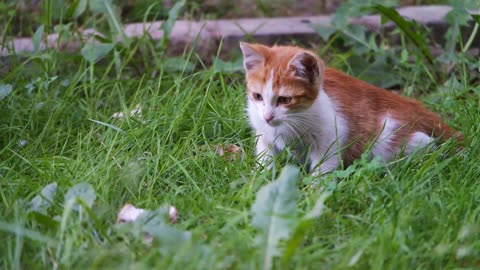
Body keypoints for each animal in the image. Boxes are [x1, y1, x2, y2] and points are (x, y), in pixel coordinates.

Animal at [240, 42, 462, 175]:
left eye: (285, 99)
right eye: (258, 96)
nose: (268, 116)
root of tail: (416, 106)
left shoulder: (331, 134)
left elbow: (324, 166)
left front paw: (314, 193)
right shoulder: (263, 134)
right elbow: (265, 157)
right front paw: (258, 181)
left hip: (392, 139)